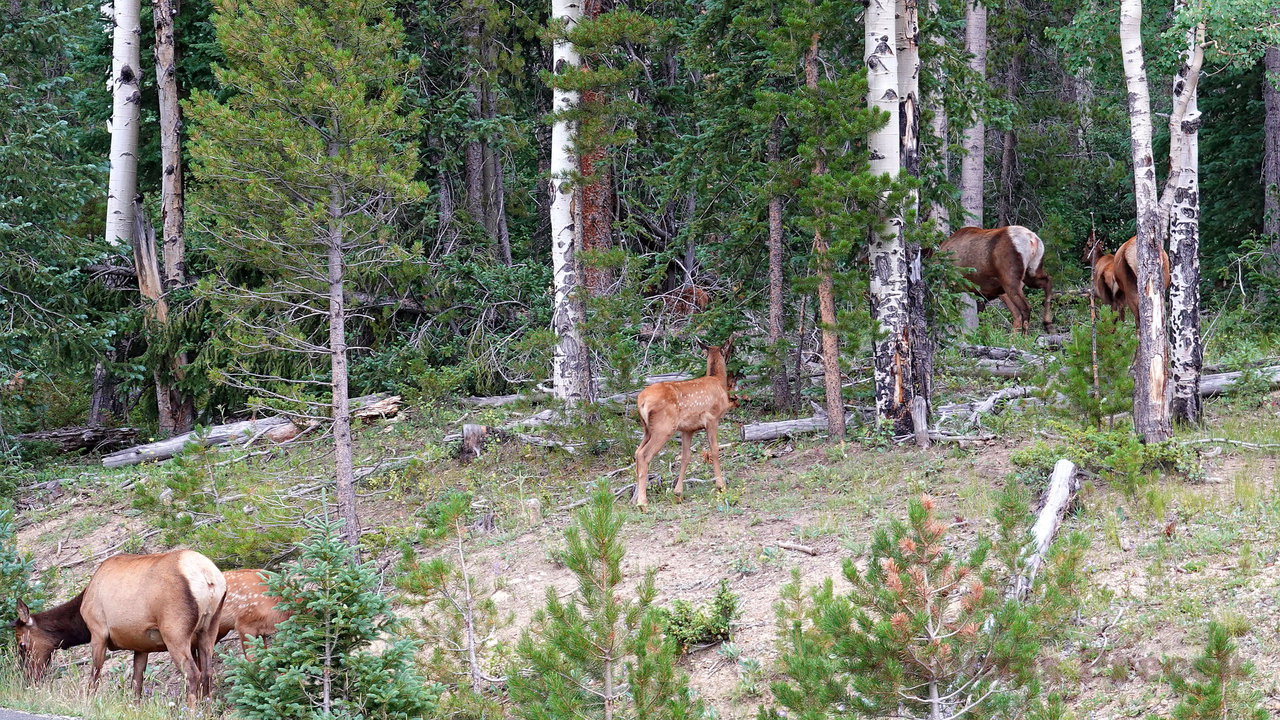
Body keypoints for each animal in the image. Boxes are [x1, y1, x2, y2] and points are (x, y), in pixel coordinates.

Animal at [11, 545, 226, 702]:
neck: (80, 618)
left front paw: (89, 703)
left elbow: (95, 676)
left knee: (193, 674)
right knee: (207, 673)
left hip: (175, 631)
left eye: (22, 644)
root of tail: (209, 577)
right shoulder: (141, 645)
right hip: (209, 629)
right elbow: (137, 683)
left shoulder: (98, 632)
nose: (28, 677)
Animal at [632, 335, 742, 507]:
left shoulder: (687, 429)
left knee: (637, 453)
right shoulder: (712, 418)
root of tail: (641, 401)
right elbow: (714, 450)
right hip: (663, 427)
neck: (719, 382)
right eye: (728, 351)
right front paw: (721, 486)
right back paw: (643, 503)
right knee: (644, 455)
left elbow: (685, 457)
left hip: (647, 429)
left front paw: (678, 492)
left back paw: (636, 498)